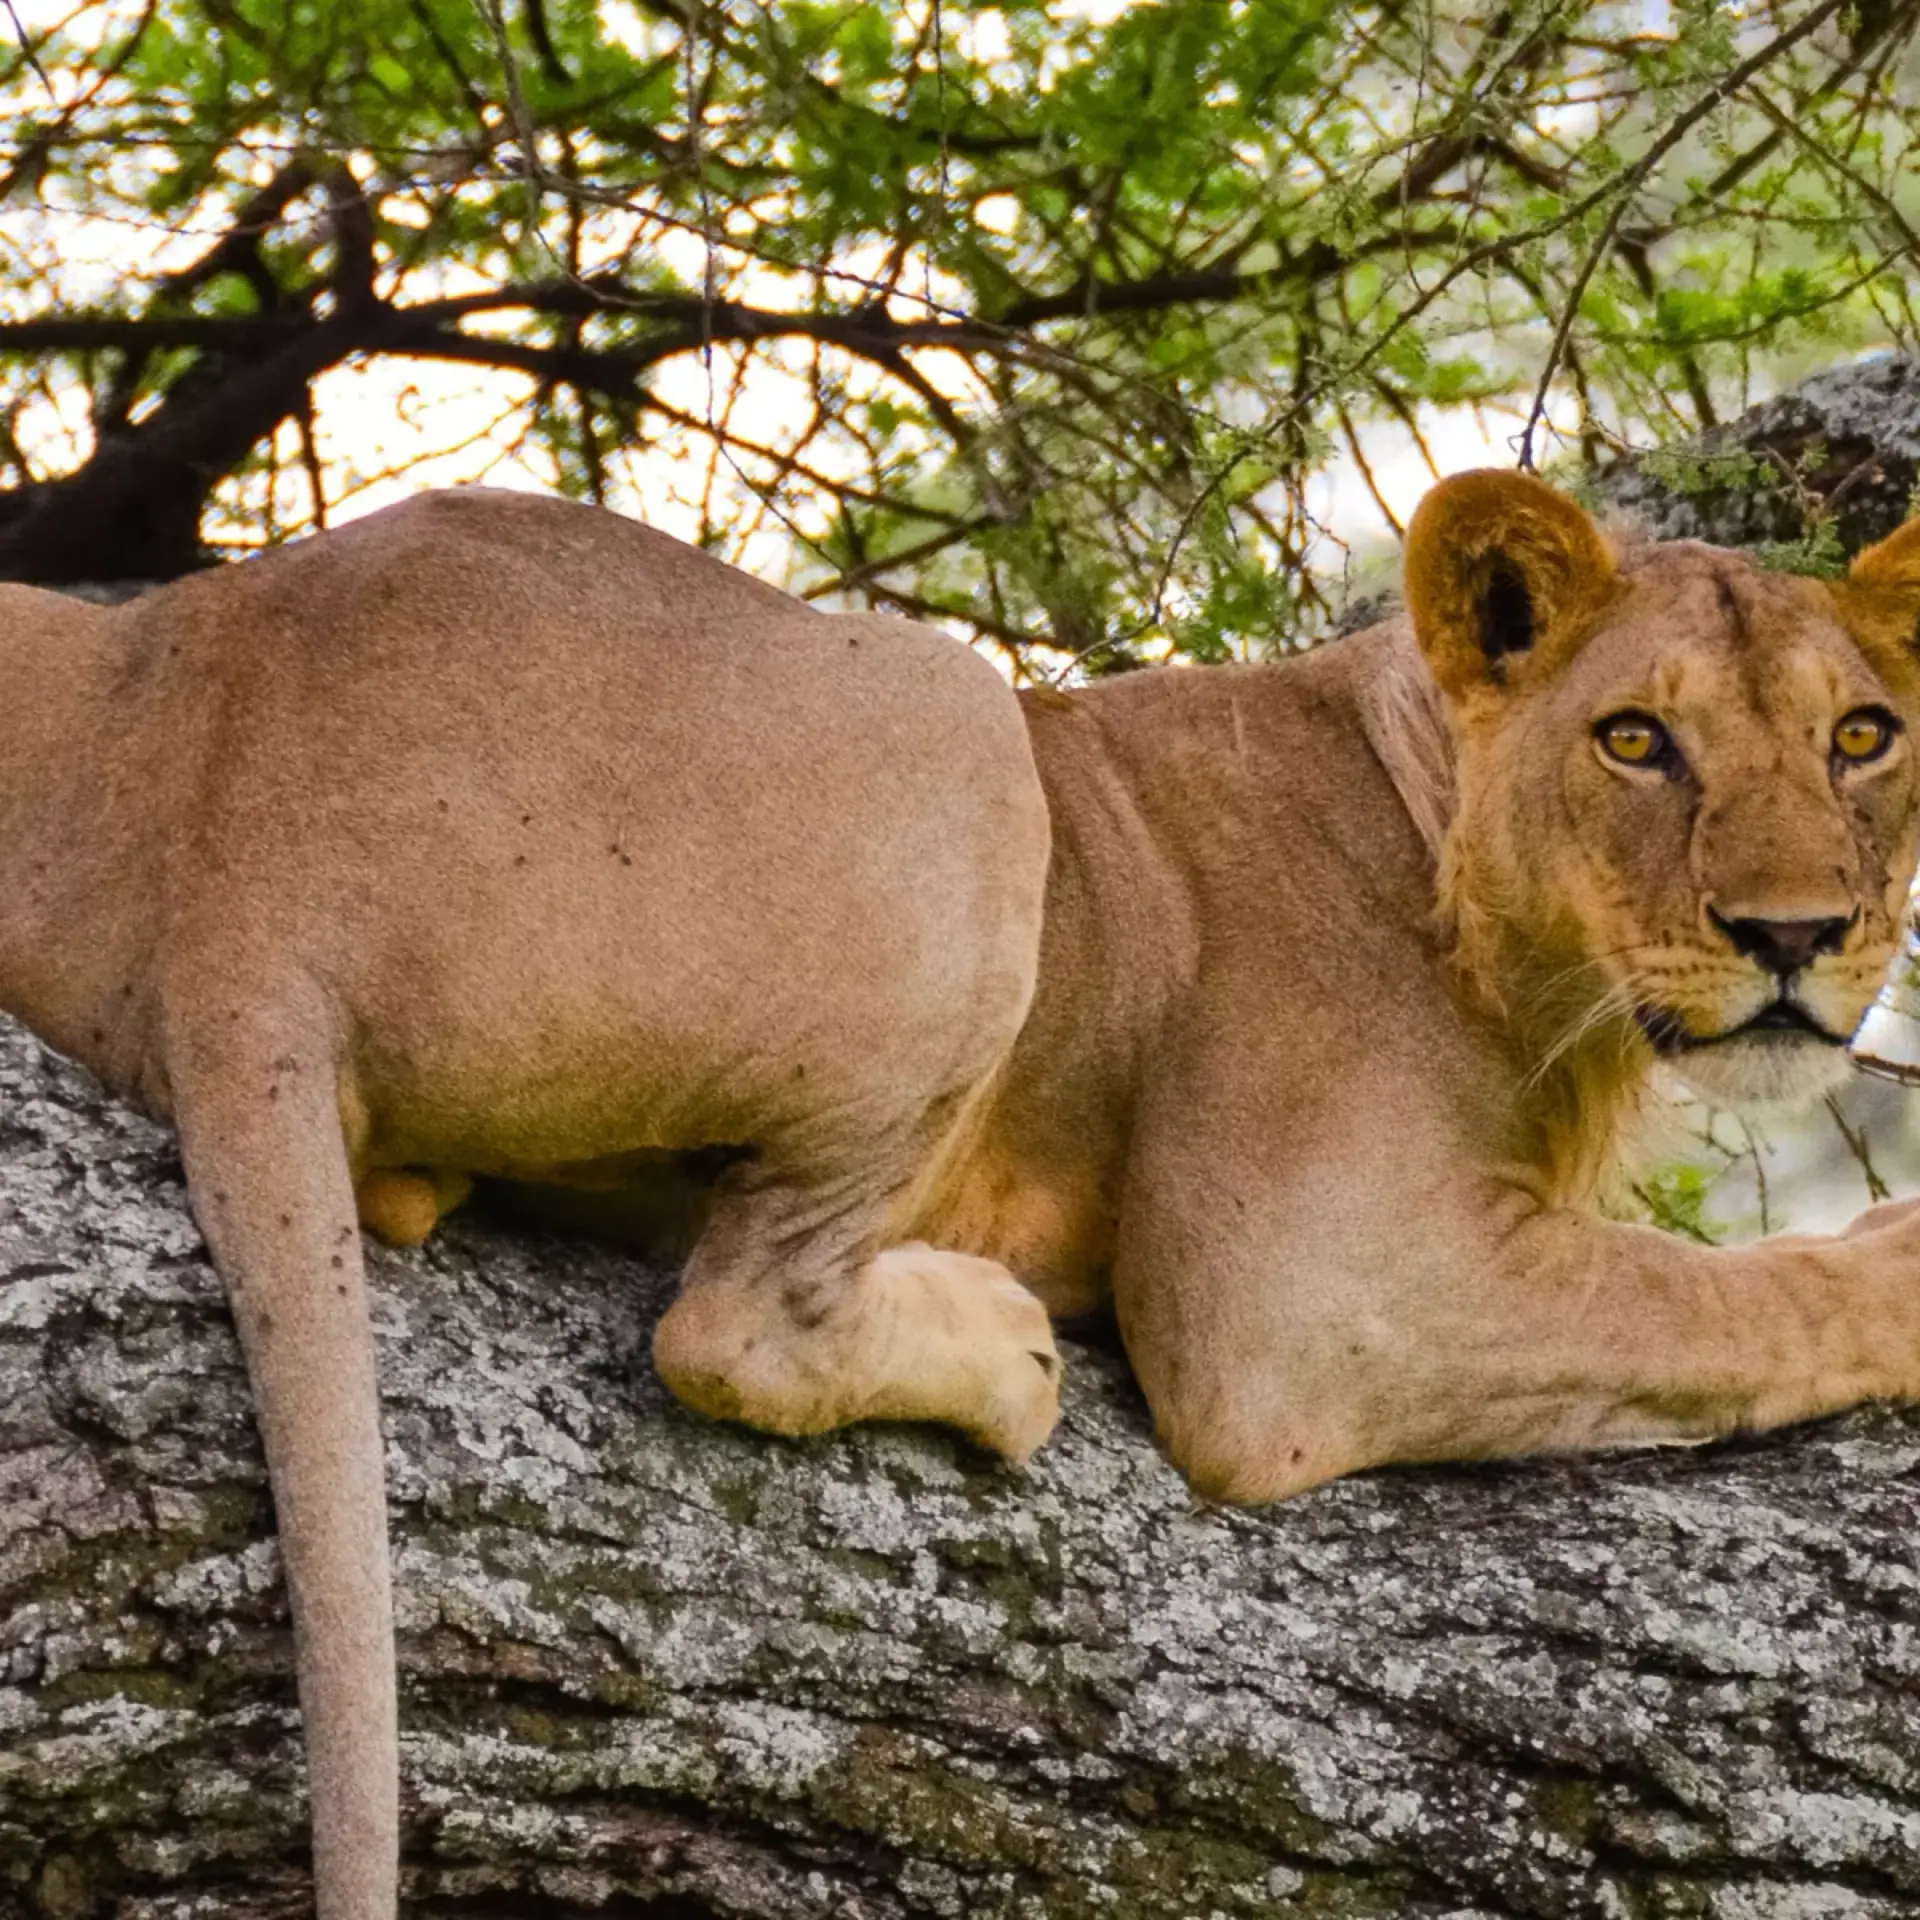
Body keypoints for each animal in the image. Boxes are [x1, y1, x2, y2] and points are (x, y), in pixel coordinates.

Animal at [5, 470, 1920, 1917]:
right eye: (1635, 741)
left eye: (1864, 737)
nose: (1799, 936)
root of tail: (238, 854)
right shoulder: (1301, 1317)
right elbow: (1706, 1300)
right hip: (957, 722)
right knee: (732, 1318)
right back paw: (998, 1352)